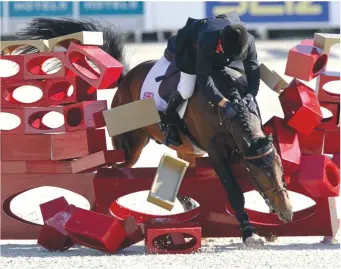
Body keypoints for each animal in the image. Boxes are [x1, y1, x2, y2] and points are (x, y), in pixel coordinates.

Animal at [13, 18, 292, 245]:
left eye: (280, 169)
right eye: (259, 173)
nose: (287, 214)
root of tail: (125, 79)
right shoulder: (215, 152)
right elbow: (234, 191)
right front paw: (250, 234)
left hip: (185, 149)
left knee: (181, 171)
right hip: (130, 149)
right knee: (114, 168)